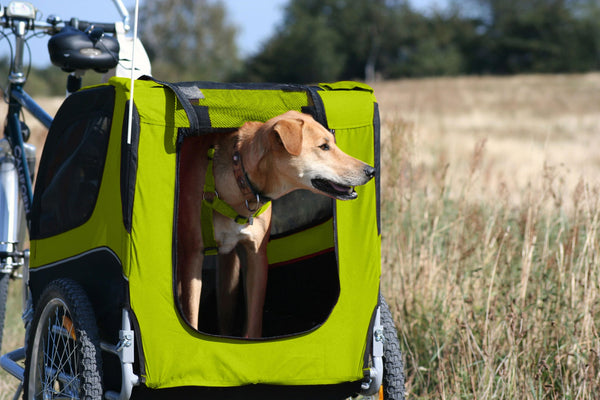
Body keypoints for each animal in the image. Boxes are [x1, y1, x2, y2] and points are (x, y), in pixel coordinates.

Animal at [176, 110, 378, 338]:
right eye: (324, 147)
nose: (371, 171)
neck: (240, 180)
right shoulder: (193, 255)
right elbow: (191, 318)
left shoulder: (256, 256)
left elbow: (254, 322)